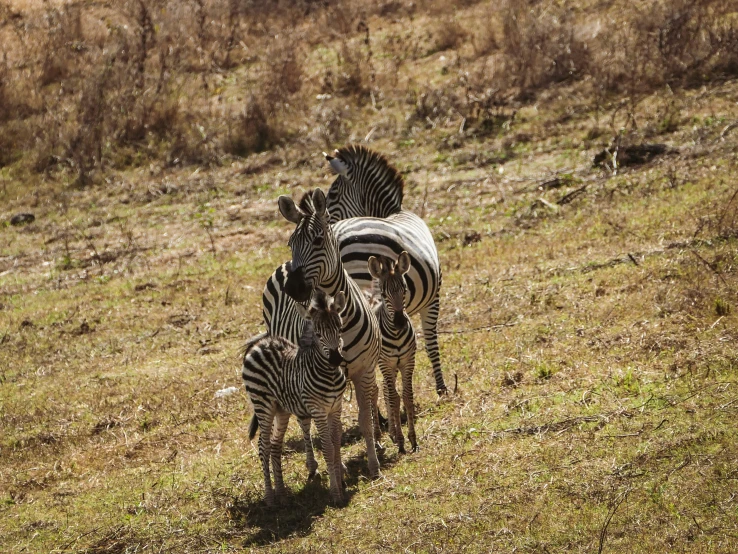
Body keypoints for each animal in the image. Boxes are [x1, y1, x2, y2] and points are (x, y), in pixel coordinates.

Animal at [240, 288, 346, 504]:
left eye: (340, 329)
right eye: (318, 334)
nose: (335, 359)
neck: (329, 374)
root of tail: (259, 343)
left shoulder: (335, 407)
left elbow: (336, 443)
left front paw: (341, 483)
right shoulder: (318, 410)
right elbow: (328, 448)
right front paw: (335, 494)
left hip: (281, 409)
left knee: (274, 445)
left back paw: (281, 494)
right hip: (263, 405)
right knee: (263, 445)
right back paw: (270, 498)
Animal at [262, 188, 382, 476]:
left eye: (317, 241)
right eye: (291, 243)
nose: (293, 288)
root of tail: (284, 266)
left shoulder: (363, 369)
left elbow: (364, 419)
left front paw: (374, 464)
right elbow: (327, 430)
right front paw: (337, 467)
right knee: (304, 421)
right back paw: (312, 464)